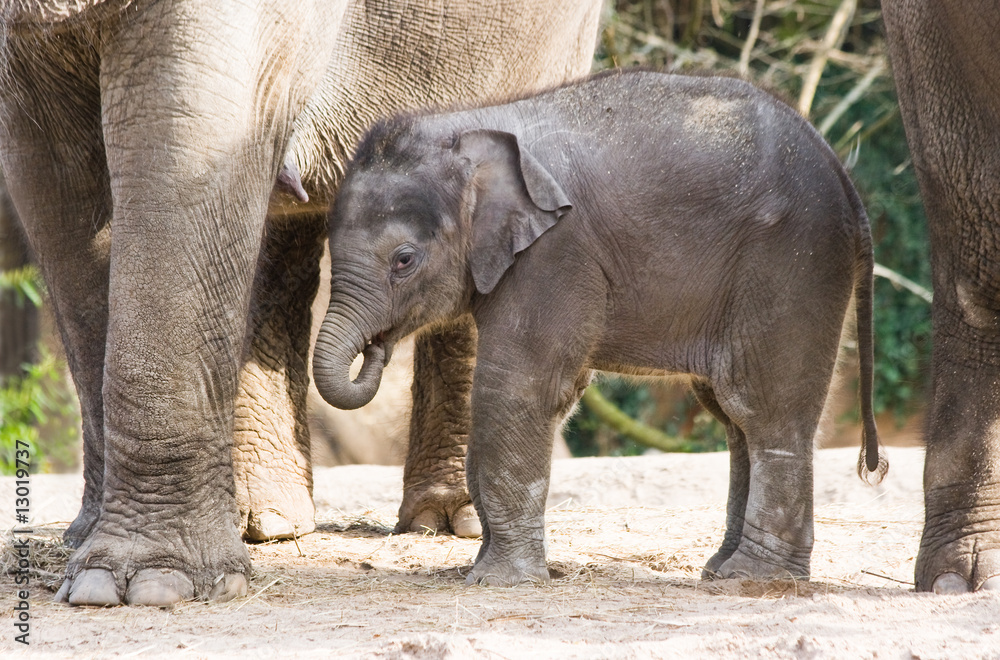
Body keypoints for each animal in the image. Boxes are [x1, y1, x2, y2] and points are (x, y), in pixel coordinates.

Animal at [0, 0, 601, 606]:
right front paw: (93, 558)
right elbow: (56, 185)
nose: (376, 348)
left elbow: (184, 147)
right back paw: (264, 522)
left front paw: (148, 583)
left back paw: (451, 521)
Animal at [312, 70, 887, 586]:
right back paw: (719, 571)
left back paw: (754, 579)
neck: (467, 127)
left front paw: (498, 581)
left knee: (763, 410)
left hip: (792, 266)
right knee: (733, 416)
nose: (377, 348)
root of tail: (846, 182)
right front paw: (484, 569)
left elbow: (518, 389)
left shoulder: (556, 254)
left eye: (404, 260)